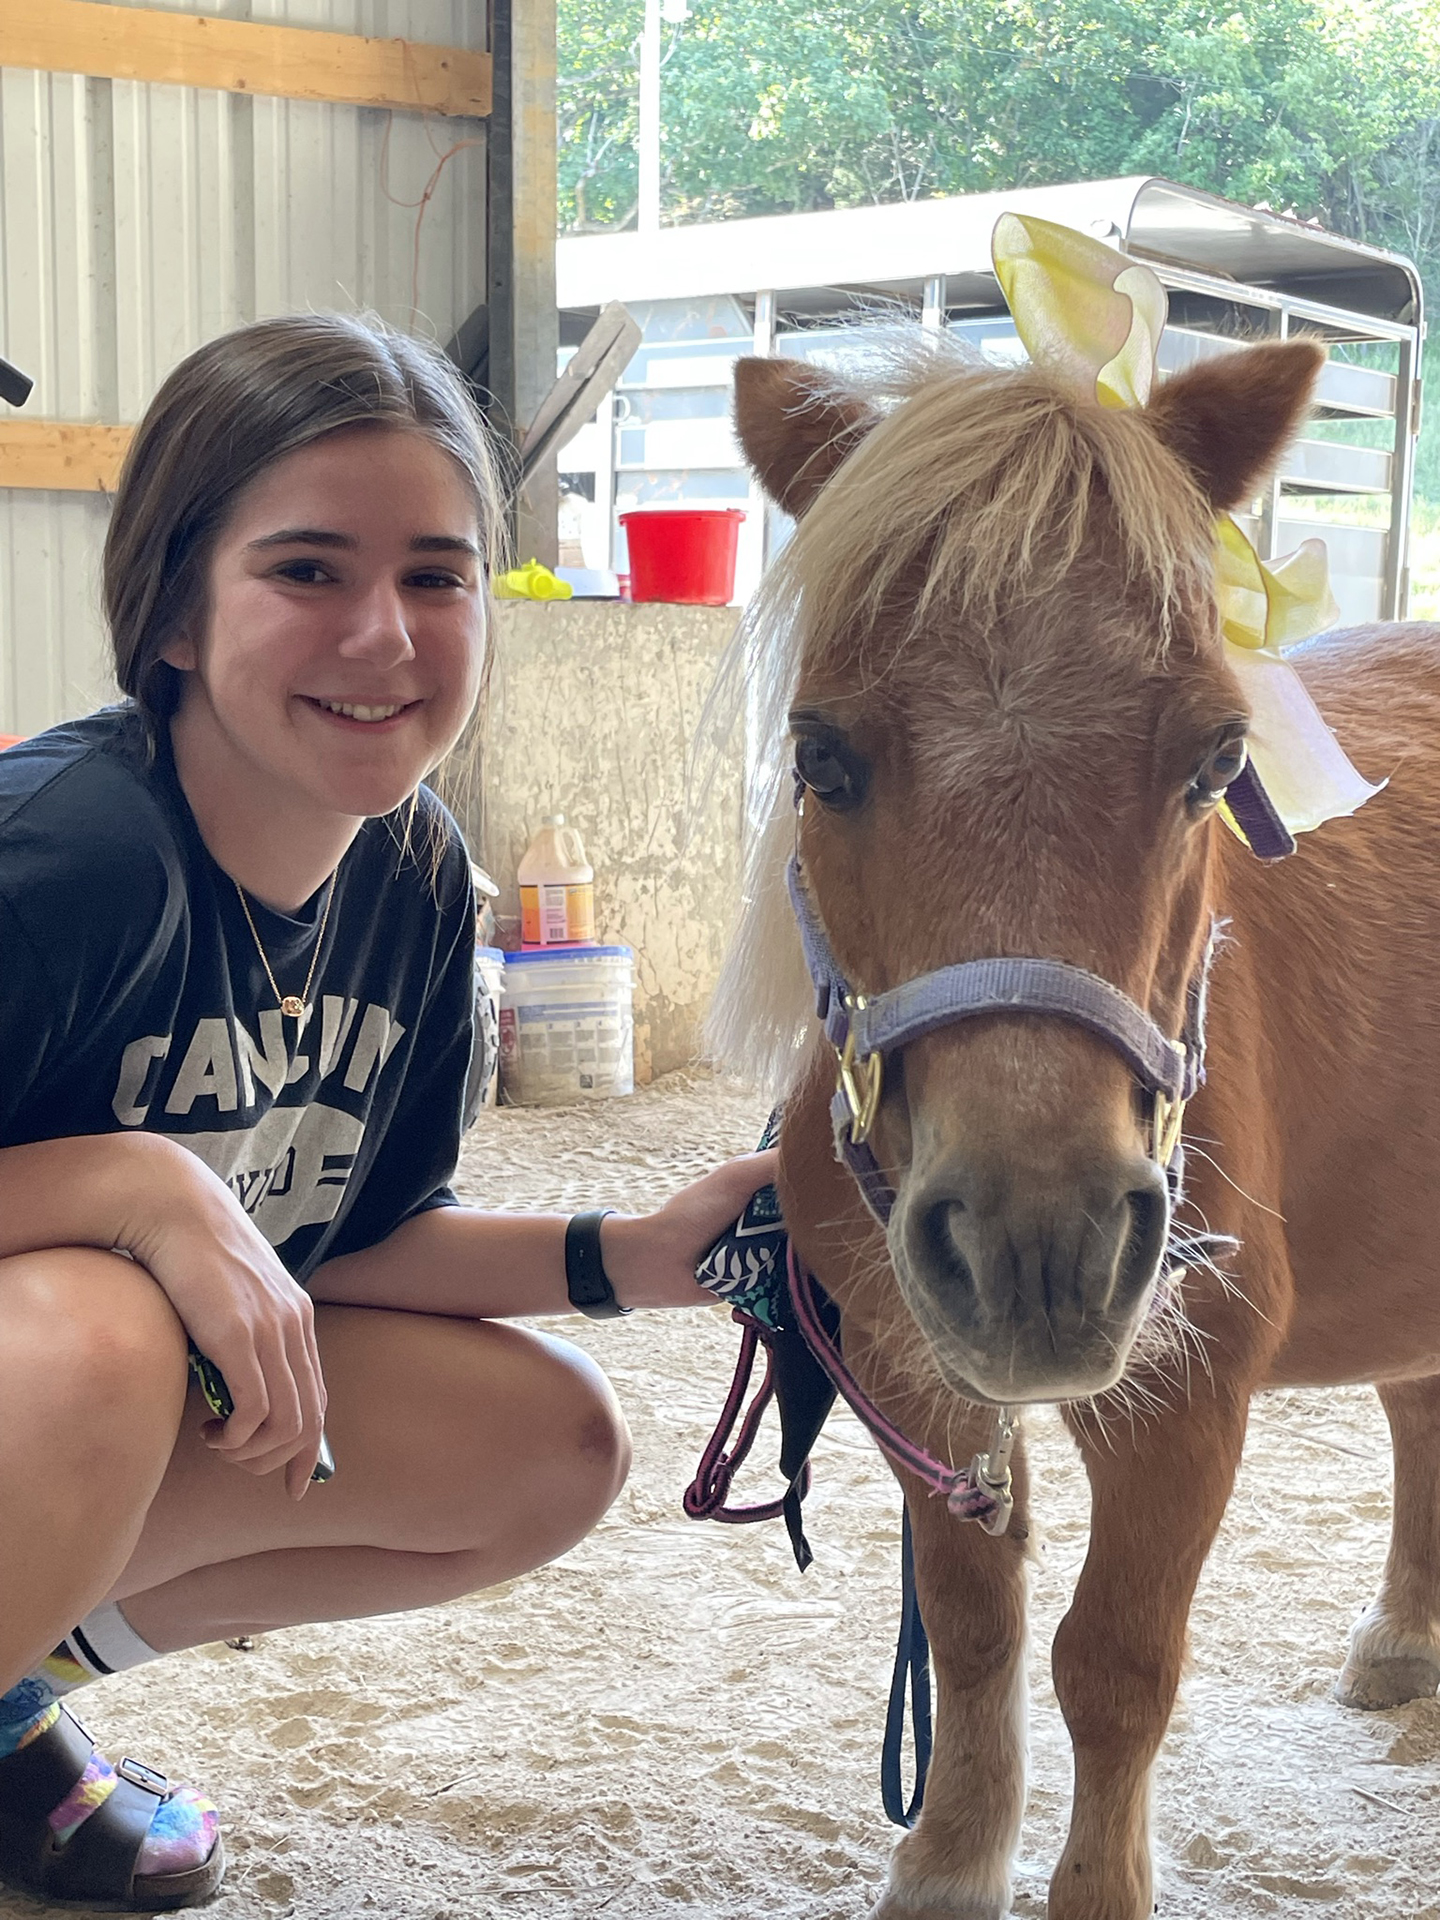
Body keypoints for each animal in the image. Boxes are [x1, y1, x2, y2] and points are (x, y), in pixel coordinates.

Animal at [707, 333, 1440, 1919]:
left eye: (1218, 758)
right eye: (821, 755)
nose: (1037, 1245)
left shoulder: (1186, 1396)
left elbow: (1114, 1666)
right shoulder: (916, 1382)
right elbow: (976, 1630)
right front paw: (949, 1863)